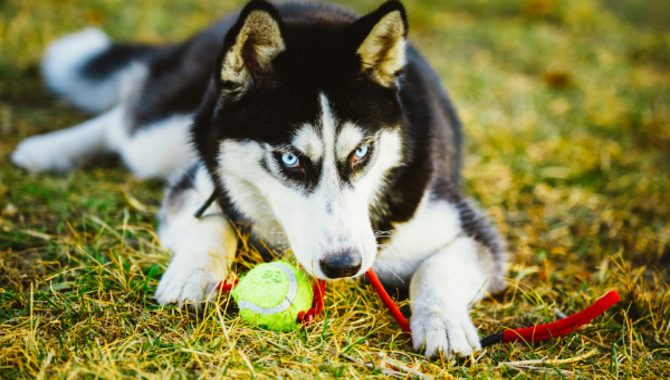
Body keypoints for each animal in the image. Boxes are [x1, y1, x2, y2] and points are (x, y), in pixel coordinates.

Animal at [11, 0, 504, 358]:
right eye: (289, 159)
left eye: (361, 153)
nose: (344, 265)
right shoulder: (196, 186)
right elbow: (214, 222)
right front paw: (192, 273)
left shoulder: (467, 227)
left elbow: (437, 267)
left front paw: (443, 322)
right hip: (162, 139)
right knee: (124, 119)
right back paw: (48, 149)